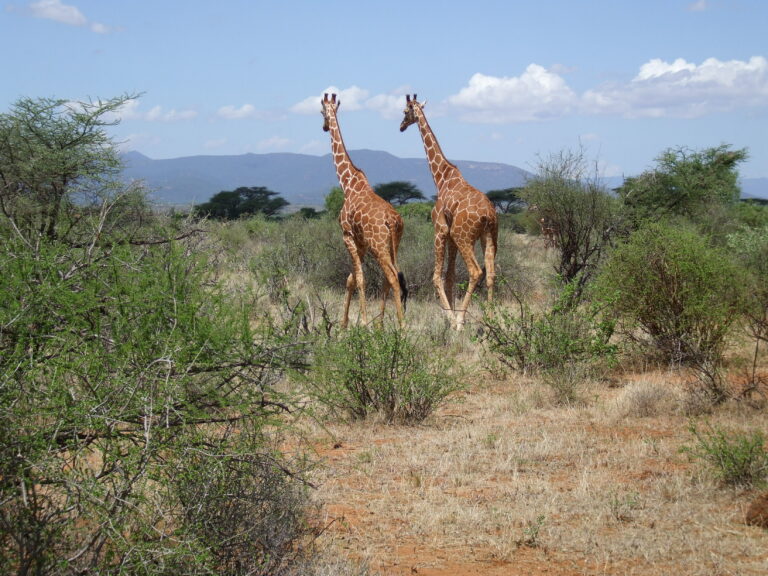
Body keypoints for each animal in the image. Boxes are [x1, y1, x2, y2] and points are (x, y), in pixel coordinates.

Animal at [320, 94, 408, 328]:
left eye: (322, 113)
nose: (324, 126)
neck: (348, 184)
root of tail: (392, 221)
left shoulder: (347, 235)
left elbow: (359, 278)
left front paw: (362, 323)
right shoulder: (361, 243)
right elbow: (351, 279)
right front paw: (343, 325)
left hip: (379, 246)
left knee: (392, 277)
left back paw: (401, 326)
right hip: (392, 244)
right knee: (390, 277)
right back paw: (381, 324)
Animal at [400, 94, 500, 328]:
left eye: (405, 112)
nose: (401, 126)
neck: (441, 178)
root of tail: (488, 215)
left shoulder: (441, 230)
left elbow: (437, 276)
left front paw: (450, 316)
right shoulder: (451, 237)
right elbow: (450, 276)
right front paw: (451, 313)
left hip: (463, 235)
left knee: (476, 271)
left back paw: (461, 320)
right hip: (489, 236)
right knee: (491, 273)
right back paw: (491, 320)